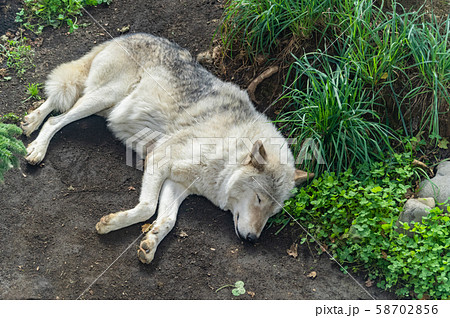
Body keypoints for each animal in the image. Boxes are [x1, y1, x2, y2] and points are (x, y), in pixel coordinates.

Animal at [21, 33, 312, 264]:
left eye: (273, 212)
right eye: (260, 199)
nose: (252, 239)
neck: (227, 153)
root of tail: (128, 35)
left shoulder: (178, 183)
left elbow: (168, 221)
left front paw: (150, 244)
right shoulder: (159, 159)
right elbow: (148, 207)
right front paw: (110, 223)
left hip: (100, 102)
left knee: (59, 101)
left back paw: (29, 121)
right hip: (104, 98)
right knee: (57, 119)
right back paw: (37, 148)